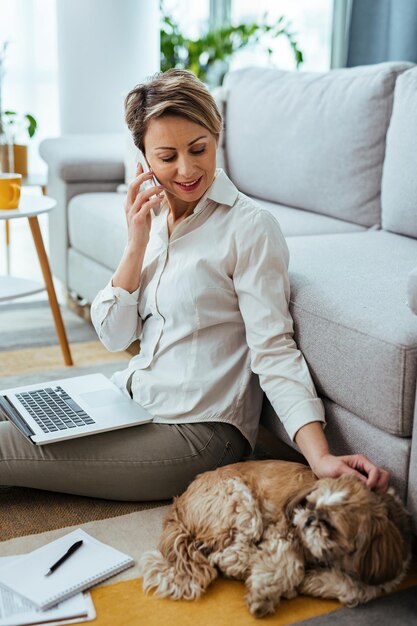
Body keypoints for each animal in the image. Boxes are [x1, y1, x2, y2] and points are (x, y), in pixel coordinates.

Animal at [139, 456, 410, 616]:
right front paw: (266, 594)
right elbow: (284, 565)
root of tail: (179, 504)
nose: (309, 519)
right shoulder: (284, 532)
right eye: (309, 504)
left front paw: (313, 580)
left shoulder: (383, 573)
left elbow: (356, 589)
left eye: (331, 527)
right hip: (240, 501)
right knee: (227, 555)